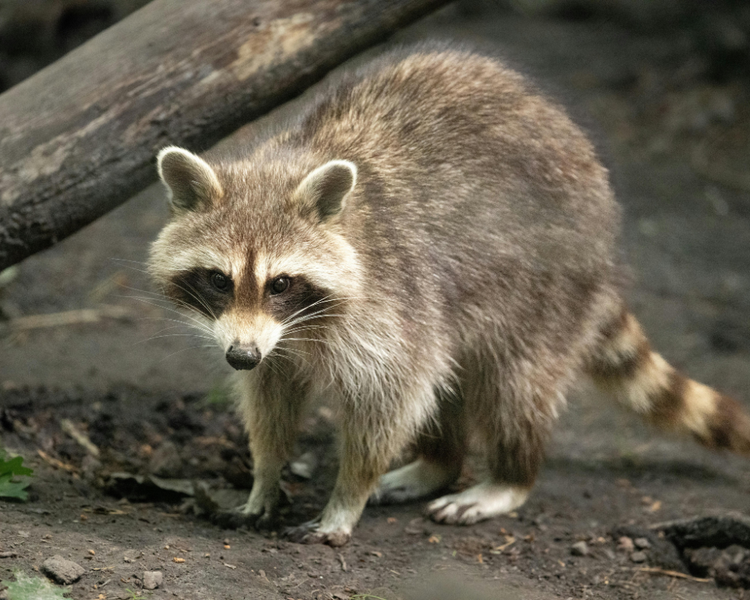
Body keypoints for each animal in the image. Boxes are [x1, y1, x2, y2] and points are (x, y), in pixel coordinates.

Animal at [149, 43, 750, 547]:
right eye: (219, 280)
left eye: (280, 283)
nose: (239, 356)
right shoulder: (273, 344)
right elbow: (270, 398)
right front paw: (265, 474)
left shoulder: (392, 301)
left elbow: (391, 398)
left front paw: (347, 496)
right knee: (449, 376)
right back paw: (439, 462)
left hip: (545, 288)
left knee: (513, 387)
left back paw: (509, 476)